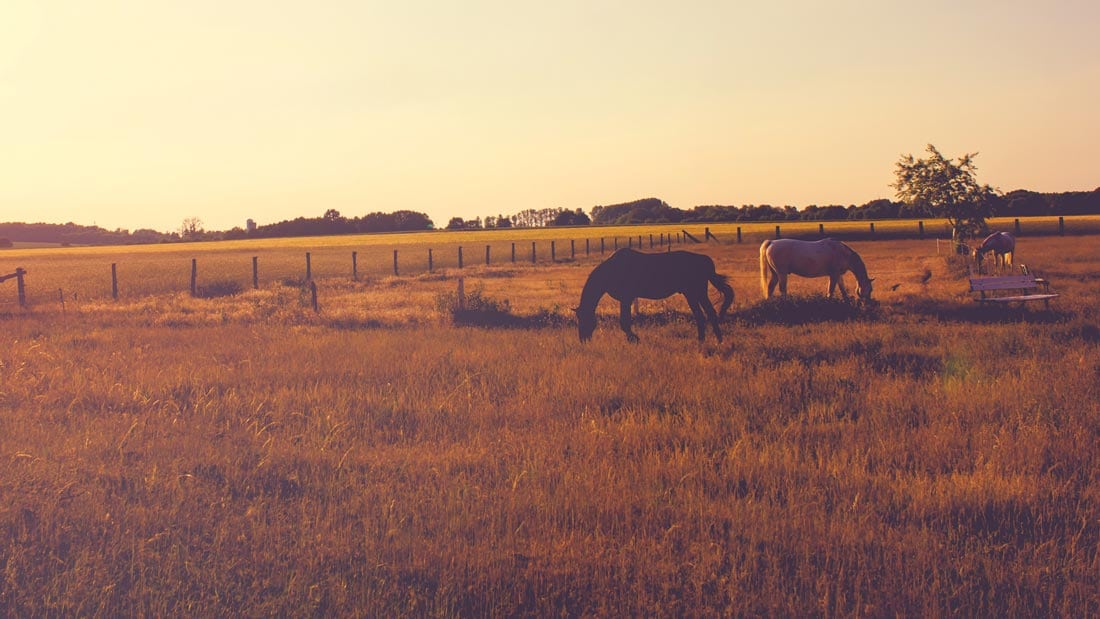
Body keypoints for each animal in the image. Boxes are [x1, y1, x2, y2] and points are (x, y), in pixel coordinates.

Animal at [572, 248, 734, 343]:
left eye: (584, 318)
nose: (583, 339)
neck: (612, 270)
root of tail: (705, 260)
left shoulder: (626, 298)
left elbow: (624, 321)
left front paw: (634, 339)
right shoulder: (626, 299)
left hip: (696, 293)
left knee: (707, 314)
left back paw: (714, 341)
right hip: (694, 294)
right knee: (704, 315)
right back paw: (707, 341)